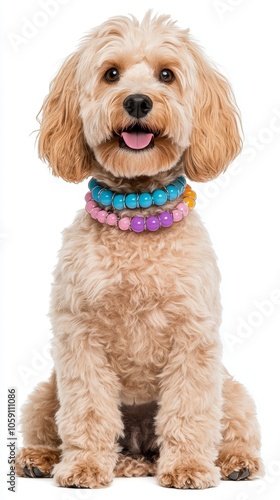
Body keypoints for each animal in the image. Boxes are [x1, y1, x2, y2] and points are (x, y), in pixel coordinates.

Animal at [15, 10, 264, 488]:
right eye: (111, 74)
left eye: (167, 75)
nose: (136, 102)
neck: (137, 218)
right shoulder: (80, 338)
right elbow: (87, 410)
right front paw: (84, 466)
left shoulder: (193, 338)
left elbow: (189, 409)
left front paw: (188, 466)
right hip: (45, 391)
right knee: (55, 424)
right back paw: (43, 458)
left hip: (232, 388)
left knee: (233, 426)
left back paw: (234, 461)